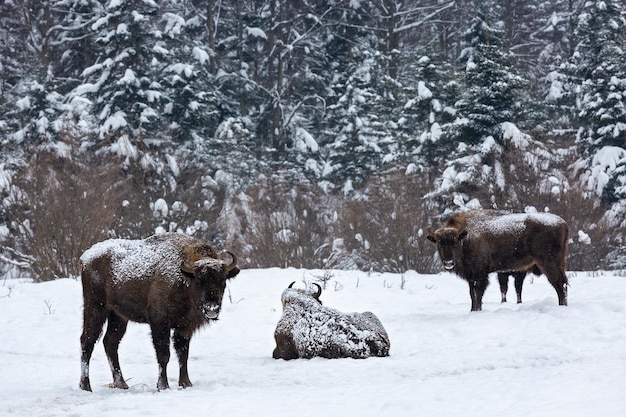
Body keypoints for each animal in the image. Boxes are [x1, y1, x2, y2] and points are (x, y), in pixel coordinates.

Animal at [80, 232, 239, 392]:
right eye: (199, 280)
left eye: (222, 280)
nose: (211, 307)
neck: (184, 278)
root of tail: (86, 257)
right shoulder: (160, 323)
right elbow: (164, 354)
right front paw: (163, 386)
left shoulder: (185, 327)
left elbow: (183, 354)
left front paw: (186, 383)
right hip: (95, 308)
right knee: (87, 341)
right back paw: (86, 386)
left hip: (118, 316)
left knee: (110, 342)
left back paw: (122, 384)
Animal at [426, 210, 568, 310]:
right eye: (439, 243)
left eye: (455, 242)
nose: (448, 263)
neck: (466, 238)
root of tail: (563, 223)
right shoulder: (471, 277)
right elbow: (472, 295)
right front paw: (472, 310)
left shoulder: (480, 275)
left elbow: (478, 294)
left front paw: (477, 310)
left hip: (548, 263)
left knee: (560, 283)